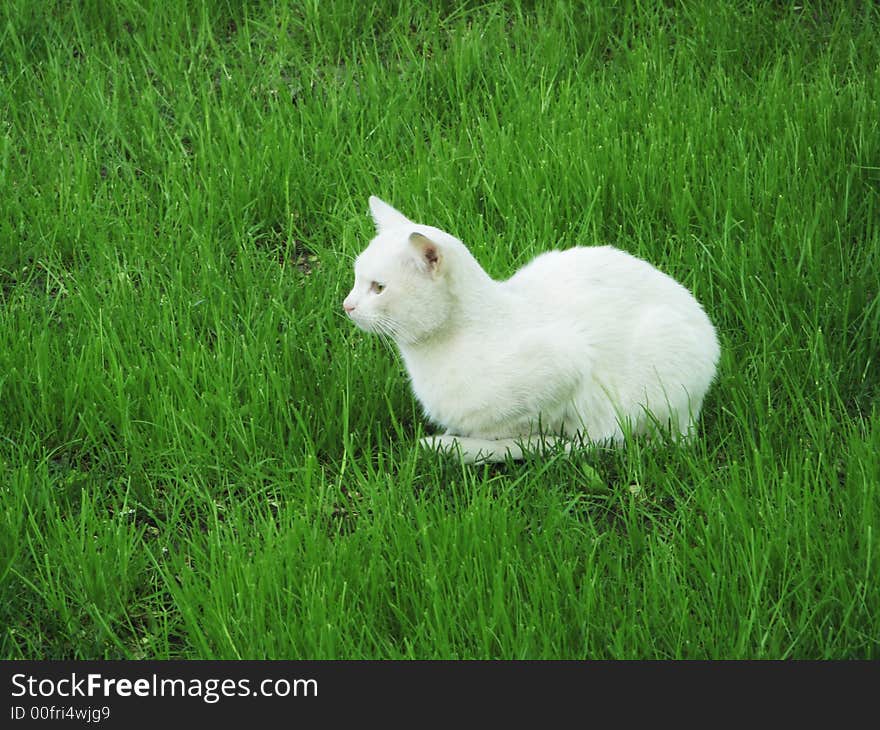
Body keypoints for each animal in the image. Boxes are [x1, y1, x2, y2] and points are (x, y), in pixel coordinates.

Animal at [340, 195, 720, 460]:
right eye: (357, 279)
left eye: (378, 287)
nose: (347, 305)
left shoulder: (566, 362)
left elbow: (520, 429)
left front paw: (470, 444)